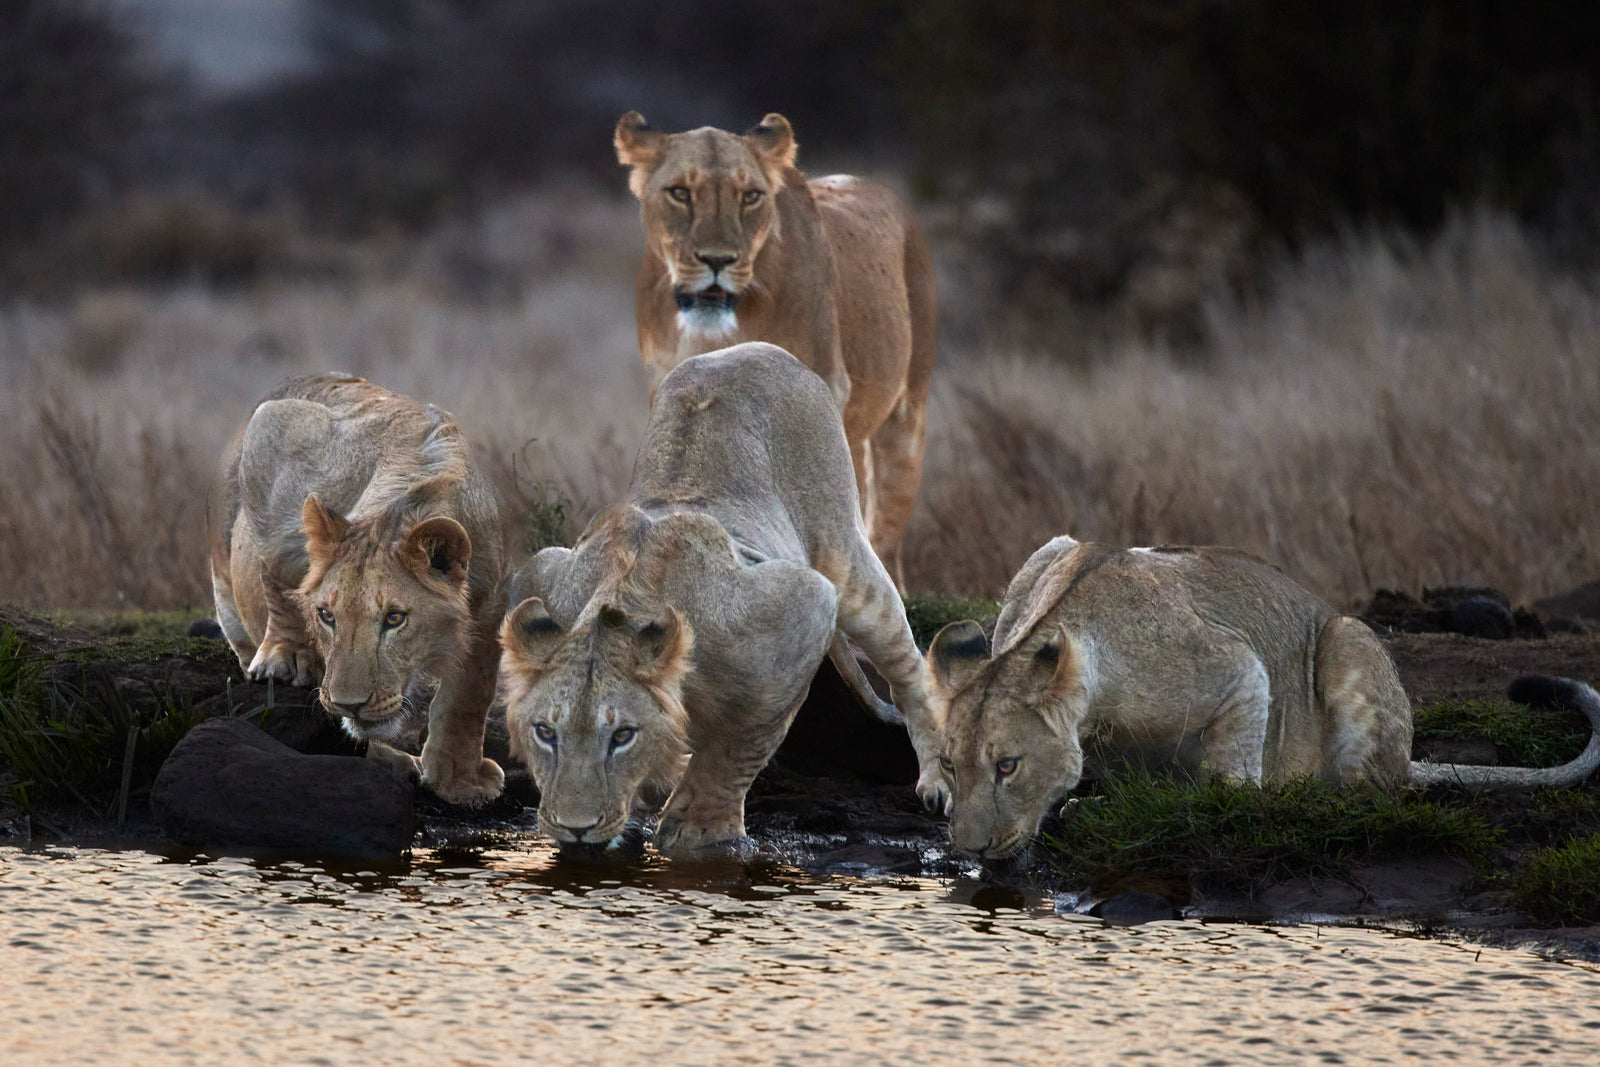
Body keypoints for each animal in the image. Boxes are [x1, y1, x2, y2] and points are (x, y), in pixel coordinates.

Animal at [207, 374, 507, 806]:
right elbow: (277, 569)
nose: (349, 704)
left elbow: (470, 695)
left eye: (395, 618)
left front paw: (458, 781)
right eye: (326, 616)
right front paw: (286, 655)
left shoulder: (492, 599)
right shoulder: (274, 426)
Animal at [499, 343, 941, 854]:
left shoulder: (803, 605)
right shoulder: (540, 575)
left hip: (846, 560)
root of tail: (763, 350)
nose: (575, 827)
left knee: (907, 666)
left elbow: (736, 744)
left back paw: (937, 783)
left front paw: (701, 828)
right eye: (545, 733)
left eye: (623, 736)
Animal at [615, 110, 937, 586]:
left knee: (882, 534)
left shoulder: (822, 389)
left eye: (750, 196)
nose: (717, 260)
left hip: (906, 420)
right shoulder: (670, 392)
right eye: (680, 193)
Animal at [925, 535, 1600, 859]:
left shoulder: (1239, 670)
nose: (970, 848)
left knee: (1369, 794)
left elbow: (1229, 781)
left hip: (1347, 637)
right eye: (952, 765)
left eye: (1008, 766)